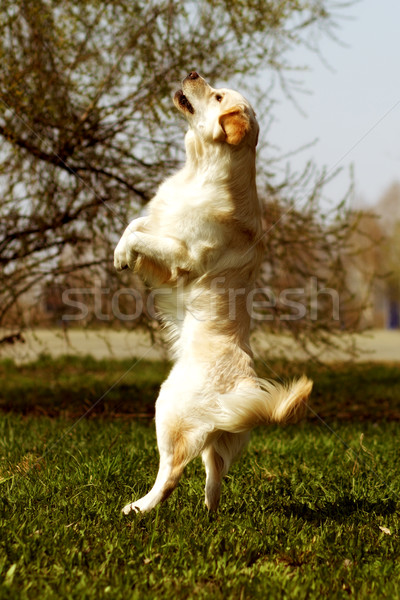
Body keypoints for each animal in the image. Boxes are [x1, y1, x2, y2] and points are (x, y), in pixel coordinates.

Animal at [113, 69, 312, 510]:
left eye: (218, 95)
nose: (192, 72)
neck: (201, 169)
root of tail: (242, 389)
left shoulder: (181, 254)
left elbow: (139, 236)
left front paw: (122, 256)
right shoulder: (162, 225)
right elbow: (137, 222)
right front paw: (120, 250)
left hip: (166, 407)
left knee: (170, 473)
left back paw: (138, 507)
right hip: (219, 439)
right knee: (214, 475)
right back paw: (209, 511)